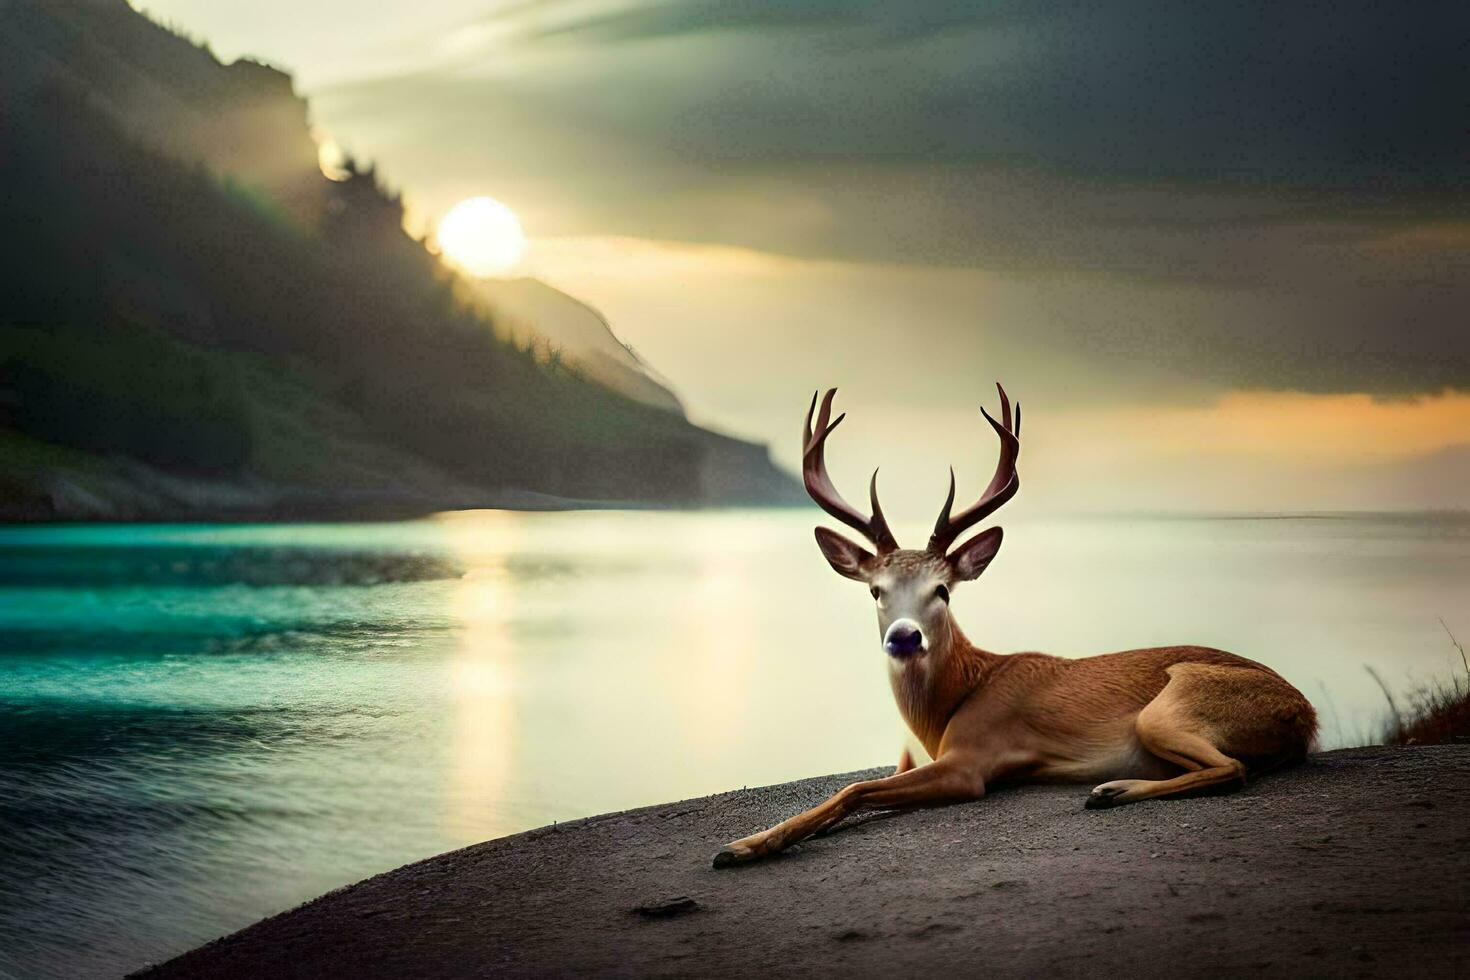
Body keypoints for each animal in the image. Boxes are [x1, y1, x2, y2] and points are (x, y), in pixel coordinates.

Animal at [705, 382, 1317, 863]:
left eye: (942, 590)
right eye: (876, 590)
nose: (903, 637)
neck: (956, 699)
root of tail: (1305, 715)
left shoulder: (973, 761)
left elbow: (853, 789)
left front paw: (744, 845)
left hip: (1171, 707)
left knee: (1231, 768)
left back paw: (1112, 790)